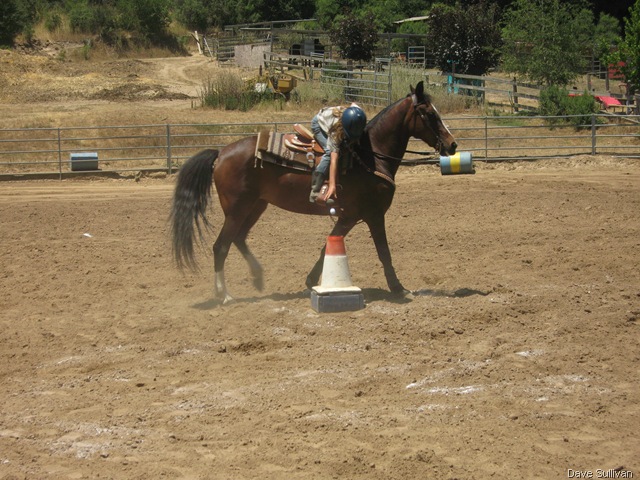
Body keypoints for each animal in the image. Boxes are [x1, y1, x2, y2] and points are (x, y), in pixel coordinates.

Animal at [171, 81, 457, 304]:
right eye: (429, 114)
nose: (452, 145)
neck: (370, 155)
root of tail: (220, 154)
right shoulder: (373, 215)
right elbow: (384, 252)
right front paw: (399, 288)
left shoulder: (348, 216)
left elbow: (325, 248)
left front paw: (310, 281)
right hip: (237, 209)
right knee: (221, 246)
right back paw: (225, 295)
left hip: (256, 206)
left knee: (238, 238)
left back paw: (257, 277)